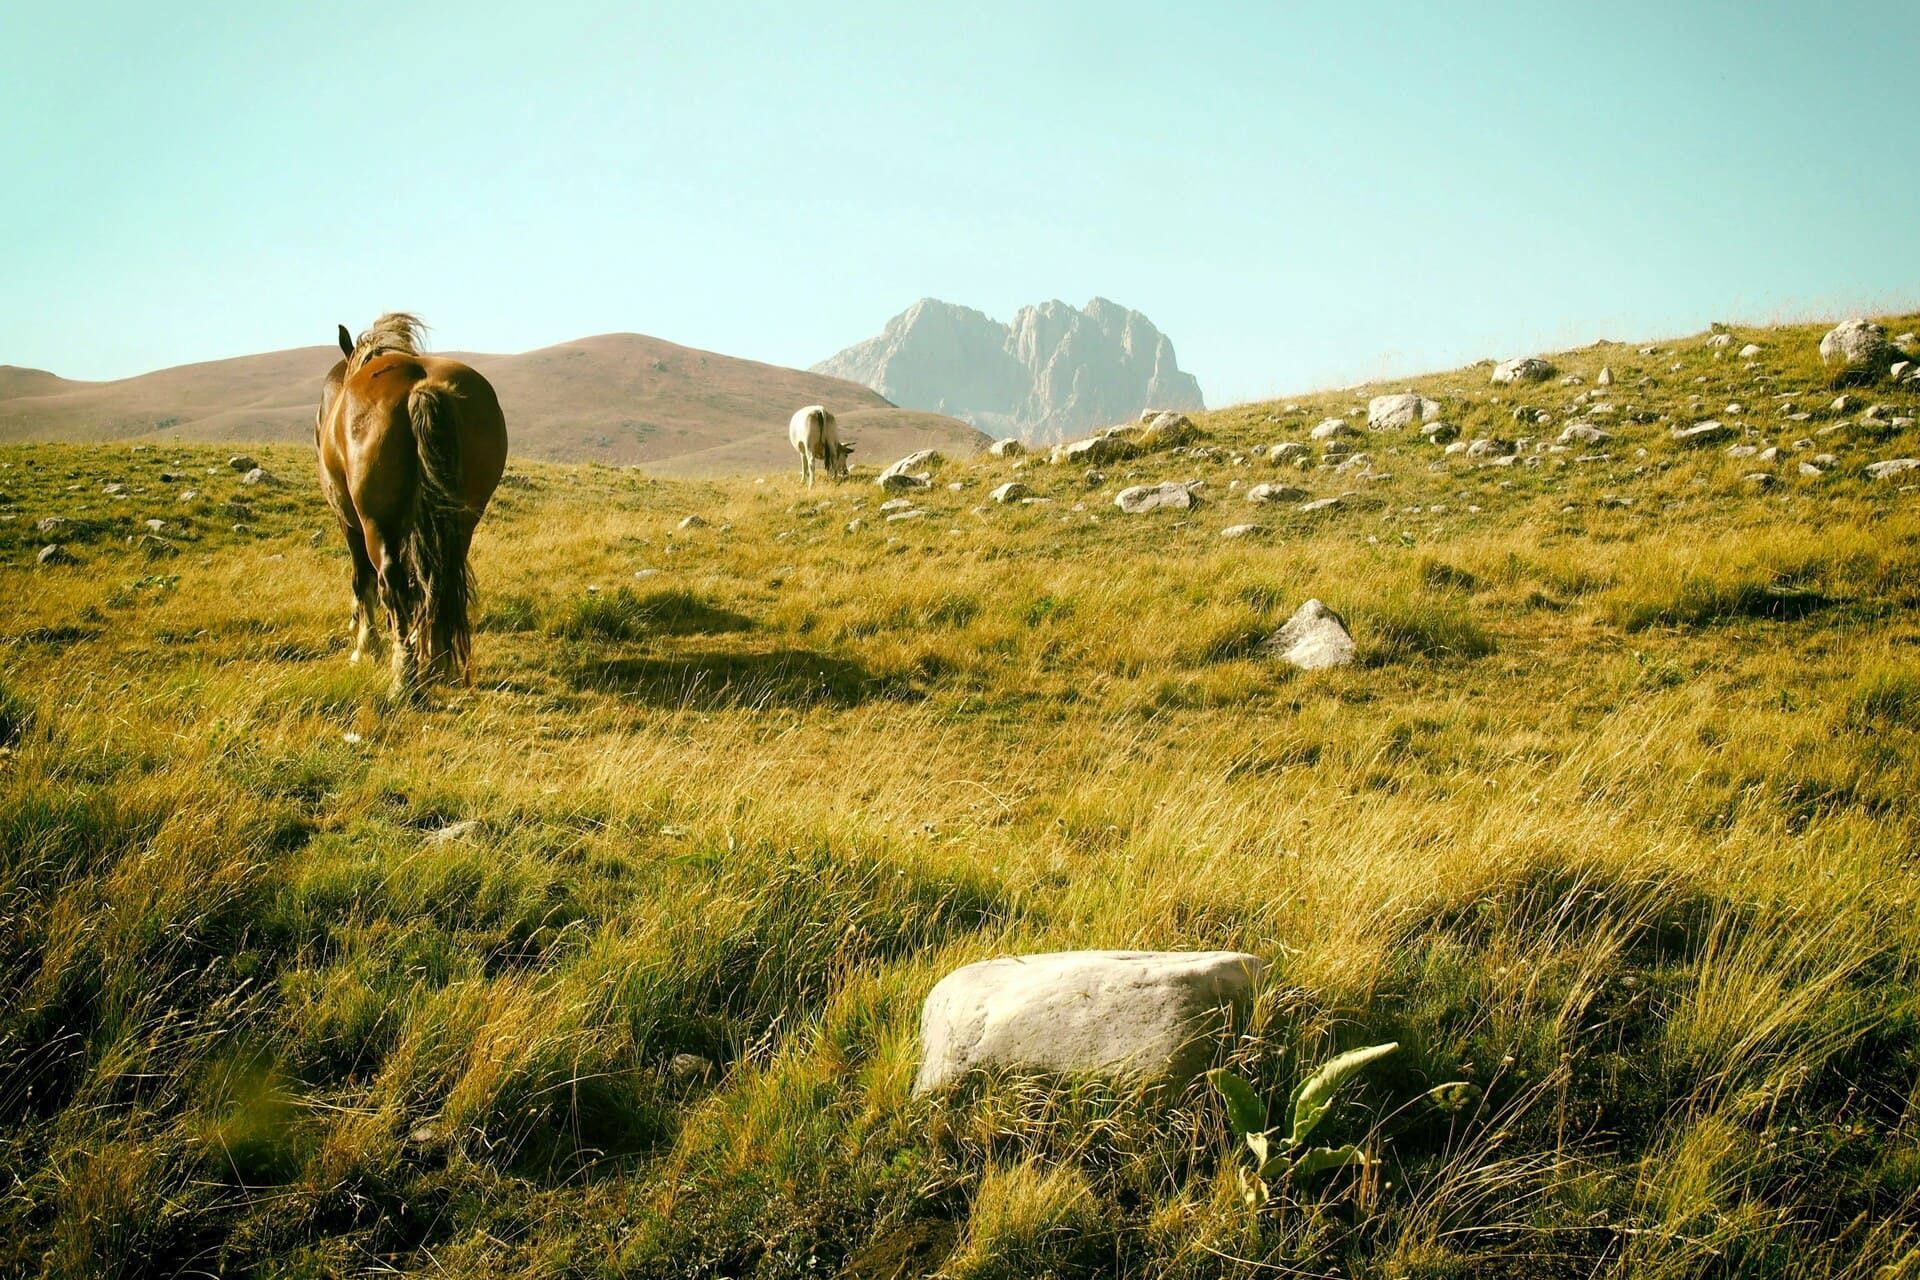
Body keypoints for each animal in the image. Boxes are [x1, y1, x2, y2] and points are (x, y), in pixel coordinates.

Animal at [315, 314, 508, 694]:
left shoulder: (349, 521)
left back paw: (403, 676)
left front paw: (365, 647)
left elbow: (363, 581)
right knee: (438, 581)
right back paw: (436, 662)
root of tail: (421, 386)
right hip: (461, 522)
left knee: (391, 581)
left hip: (375, 524)